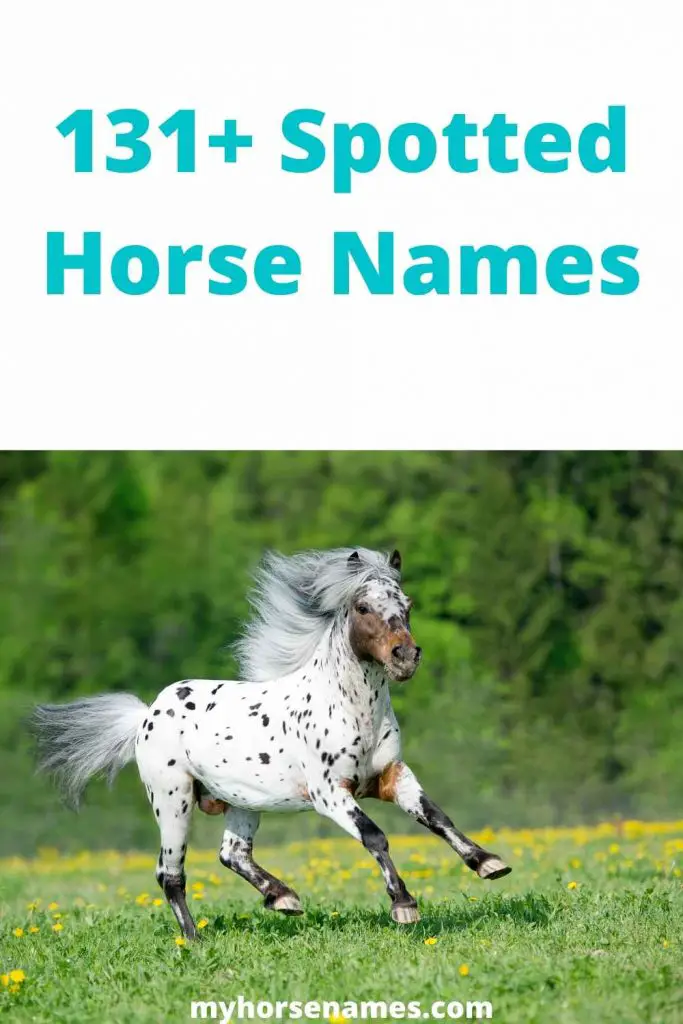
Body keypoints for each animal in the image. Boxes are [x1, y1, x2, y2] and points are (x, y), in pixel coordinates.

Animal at [32, 547, 511, 939]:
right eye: (362, 606)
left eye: (407, 605)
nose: (405, 657)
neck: (350, 709)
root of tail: (147, 714)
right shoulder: (330, 795)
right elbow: (375, 837)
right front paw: (404, 905)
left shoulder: (393, 776)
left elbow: (436, 817)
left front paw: (489, 863)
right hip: (173, 800)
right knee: (170, 874)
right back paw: (195, 940)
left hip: (243, 801)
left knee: (232, 854)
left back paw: (284, 898)